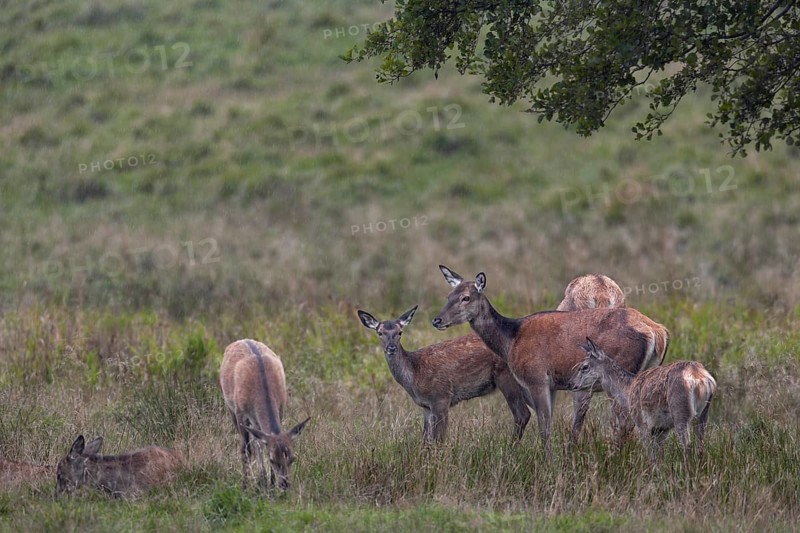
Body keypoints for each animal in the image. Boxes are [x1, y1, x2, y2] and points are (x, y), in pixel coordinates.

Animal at [220, 339, 310, 490]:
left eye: (293, 458)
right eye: (272, 459)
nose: (285, 484)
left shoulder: (281, 407)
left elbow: (262, 442)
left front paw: (271, 484)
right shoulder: (240, 413)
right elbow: (246, 450)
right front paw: (245, 486)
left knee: (259, 442)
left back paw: (262, 479)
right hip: (230, 406)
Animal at [358, 305, 531, 444]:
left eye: (400, 332)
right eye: (379, 333)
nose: (391, 348)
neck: (414, 375)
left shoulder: (441, 397)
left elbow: (438, 439)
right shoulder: (426, 406)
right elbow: (426, 439)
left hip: (507, 378)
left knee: (522, 414)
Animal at [431, 265, 669, 451]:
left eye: (466, 298)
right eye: (448, 297)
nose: (437, 320)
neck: (511, 340)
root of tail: (657, 332)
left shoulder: (536, 378)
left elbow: (544, 427)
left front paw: (548, 460)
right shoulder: (552, 385)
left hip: (617, 374)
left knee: (622, 422)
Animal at [569, 338, 716, 461]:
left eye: (584, 366)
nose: (571, 384)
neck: (628, 391)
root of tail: (701, 379)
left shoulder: (641, 422)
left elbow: (651, 456)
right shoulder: (662, 428)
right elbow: (660, 456)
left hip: (680, 411)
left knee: (687, 447)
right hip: (704, 414)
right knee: (700, 447)